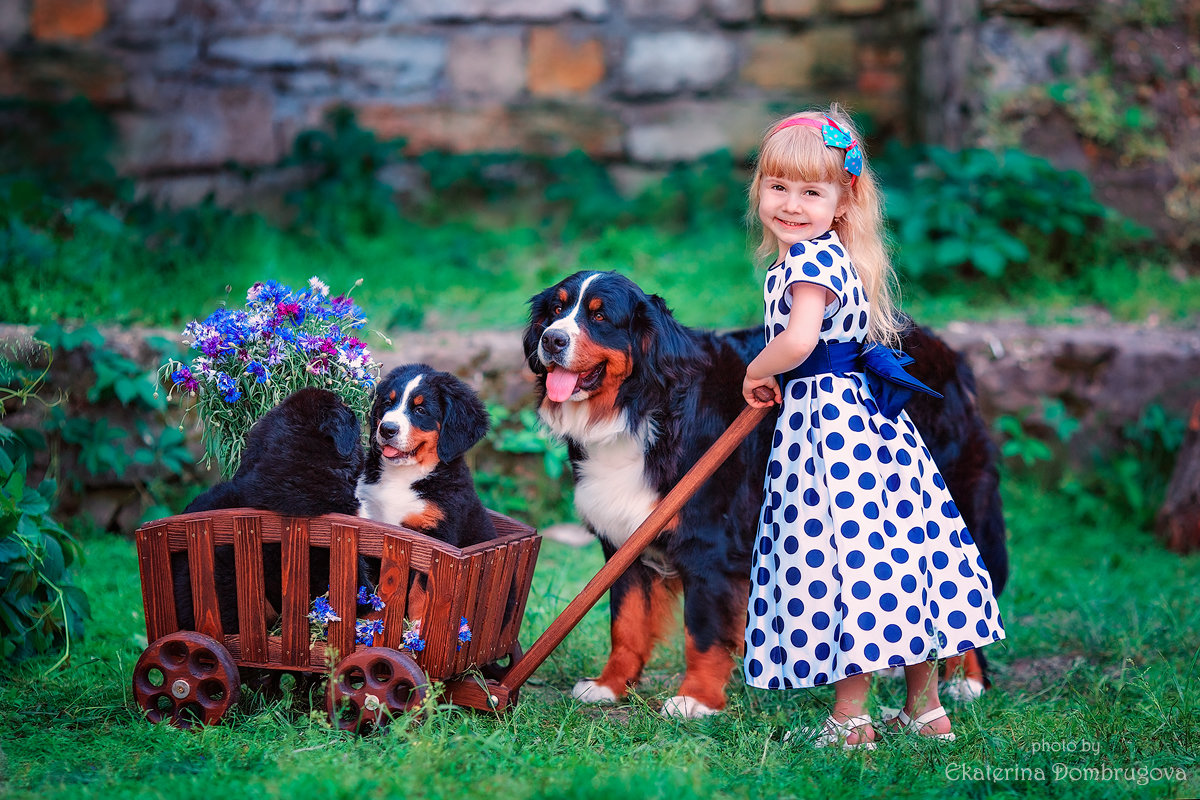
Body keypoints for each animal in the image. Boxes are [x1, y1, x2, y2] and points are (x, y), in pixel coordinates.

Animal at [525, 271, 1003, 719]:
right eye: (556, 310)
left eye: (600, 317)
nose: (552, 340)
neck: (638, 409)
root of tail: (947, 349)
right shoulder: (624, 542)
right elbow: (625, 624)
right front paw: (609, 686)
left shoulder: (708, 548)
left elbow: (702, 632)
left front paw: (695, 699)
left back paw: (964, 680)